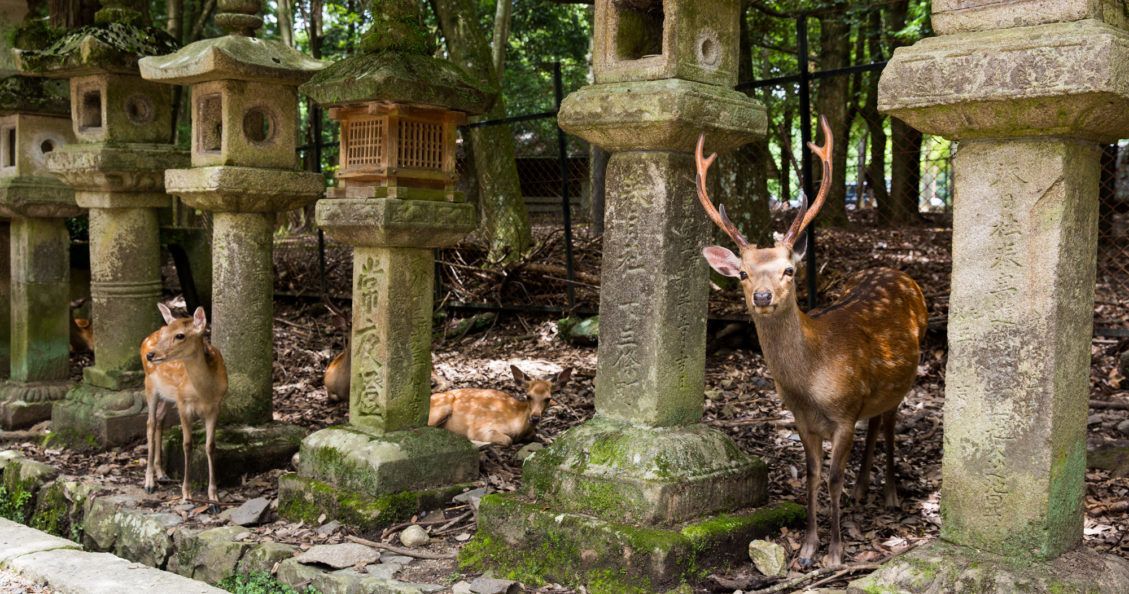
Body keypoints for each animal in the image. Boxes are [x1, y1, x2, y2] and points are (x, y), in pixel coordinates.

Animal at [139, 307, 228, 508]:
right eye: (166, 333)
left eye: (180, 335)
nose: (151, 355)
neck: (204, 392)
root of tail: (146, 339)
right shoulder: (182, 404)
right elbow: (187, 444)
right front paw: (186, 494)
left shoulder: (215, 407)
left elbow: (210, 446)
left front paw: (214, 498)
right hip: (150, 385)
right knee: (150, 423)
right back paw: (149, 482)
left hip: (167, 395)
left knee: (160, 420)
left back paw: (162, 473)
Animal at [429, 368, 578, 447]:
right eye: (528, 396)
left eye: (548, 398)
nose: (535, 418)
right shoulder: (480, 427)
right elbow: (508, 440)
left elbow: (540, 436)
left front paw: (548, 438)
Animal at [695, 115, 925, 569]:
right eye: (743, 273)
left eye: (789, 269)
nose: (762, 296)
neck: (811, 383)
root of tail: (900, 273)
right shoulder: (802, 420)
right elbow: (813, 476)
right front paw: (806, 549)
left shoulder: (844, 413)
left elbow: (833, 478)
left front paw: (834, 553)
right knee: (875, 423)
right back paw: (863, 491)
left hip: (904, 380)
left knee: (889, 423)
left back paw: (889, 494)